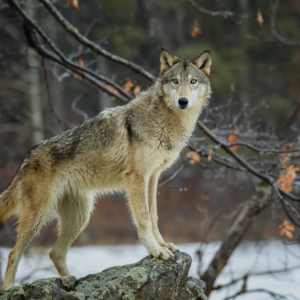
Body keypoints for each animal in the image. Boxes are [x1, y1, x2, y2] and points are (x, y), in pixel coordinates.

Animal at [0, 48, 211, 290]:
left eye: (193, 81)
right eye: (175, 81)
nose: (183, 101)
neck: (164, 119)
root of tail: (27, 157)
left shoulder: (153, 177)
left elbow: (154, 216)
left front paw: (163, 244)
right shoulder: (136, 177)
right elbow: (144, 219)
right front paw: (155, 250)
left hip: (80, 217)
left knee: (55, 253)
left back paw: (71, 282)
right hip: (38, 216)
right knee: (13, 254)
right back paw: (10, 289)